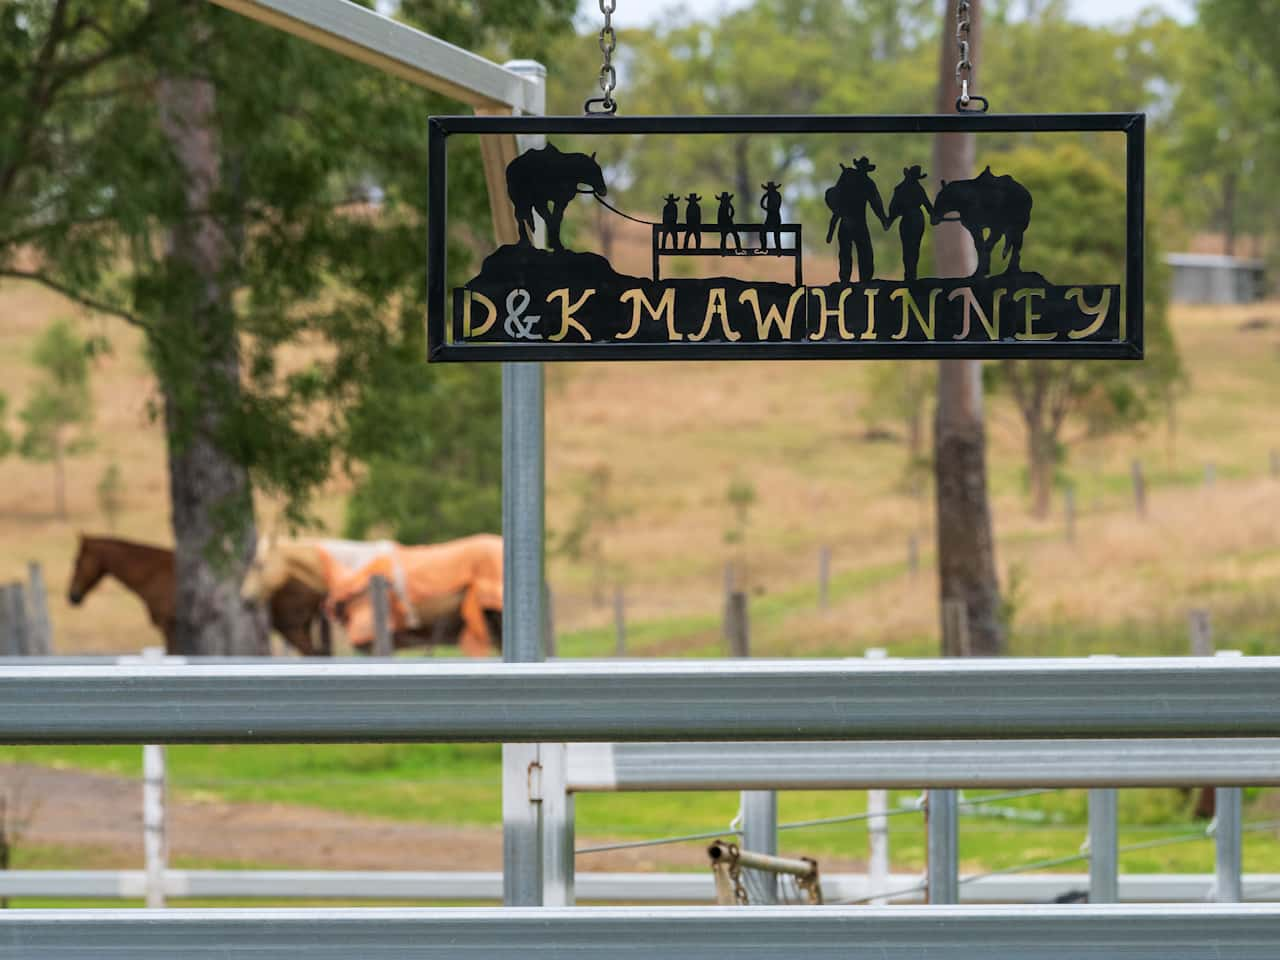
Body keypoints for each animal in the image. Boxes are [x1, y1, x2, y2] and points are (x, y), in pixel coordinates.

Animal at [66, 537, 330, 660]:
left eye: (77, 562)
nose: (73, 597)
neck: (153, 572)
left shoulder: (169, 626)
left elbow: (172, 654)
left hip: (292, 628)